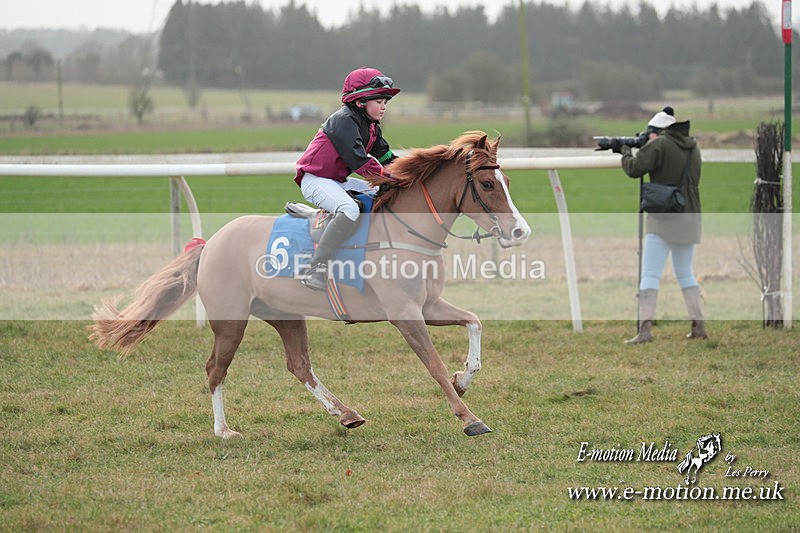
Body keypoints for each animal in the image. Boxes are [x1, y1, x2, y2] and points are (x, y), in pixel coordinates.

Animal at [90, 131, 531, 437]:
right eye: (488, 185)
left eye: (508, 181)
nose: (520, 231)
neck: (405, 231)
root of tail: (210, 244)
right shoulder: (404, 314)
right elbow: (434, 365)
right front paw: (469, 418)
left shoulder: (427, 307)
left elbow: (474, 322)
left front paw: (465, 378)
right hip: (231, 321)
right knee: (216, 367)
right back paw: (223, 430)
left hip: (284, 315)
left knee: (299, 365)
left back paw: (347, 413)